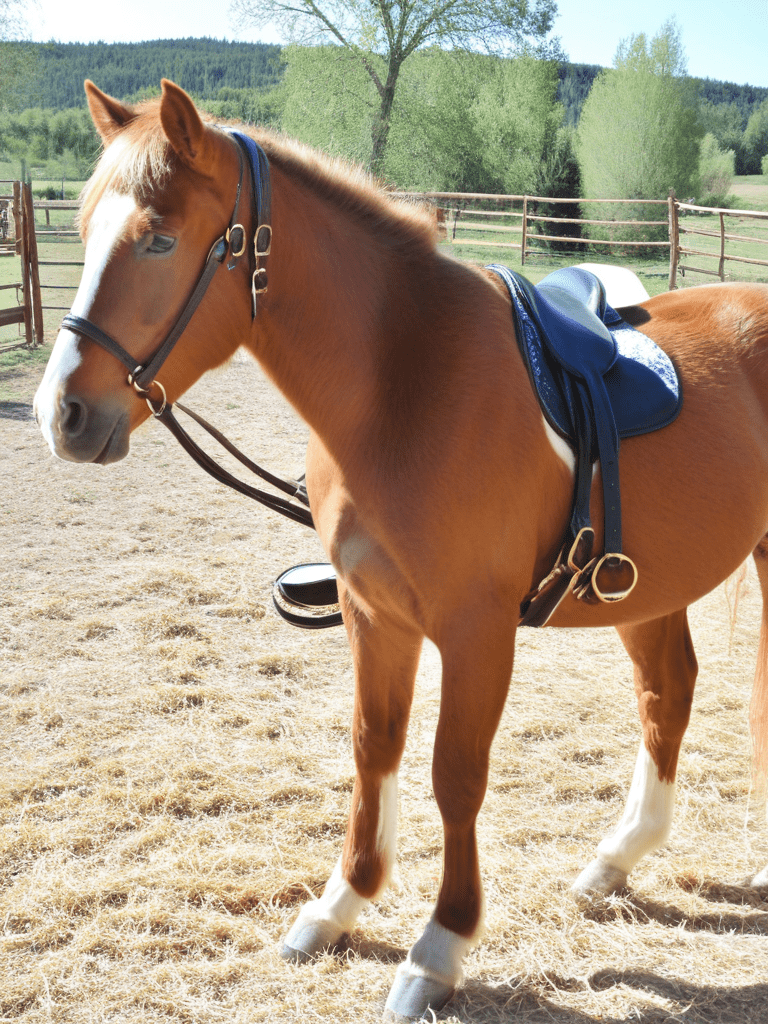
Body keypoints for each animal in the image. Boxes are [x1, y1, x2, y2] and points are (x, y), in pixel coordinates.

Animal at [34, 80, 768, 1022]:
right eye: (84, 226)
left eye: (160, 237)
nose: (62, 414)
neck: (402, 384)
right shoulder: (373, 613)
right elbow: (373, 747)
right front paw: (339, 905)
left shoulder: (475, 632)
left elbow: (455, 776)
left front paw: (440, 946)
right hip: (642, 589)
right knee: (665, 696)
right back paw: (612, 862)